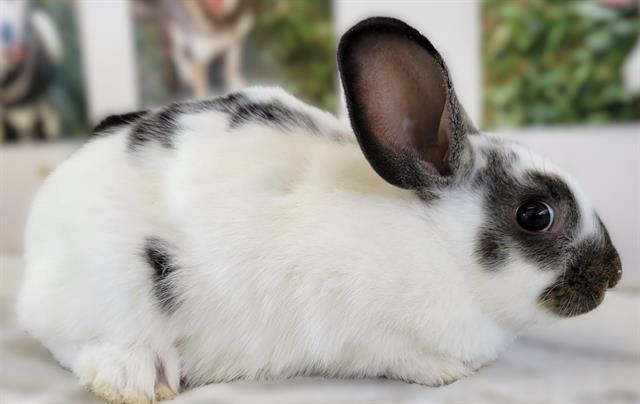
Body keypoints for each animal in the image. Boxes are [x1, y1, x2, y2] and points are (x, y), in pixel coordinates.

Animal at [17, 17, 622, 403]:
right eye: (536, 214)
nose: (614, 275)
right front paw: (447, 374)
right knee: (72, 343)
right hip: (112, 296)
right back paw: (136, 376)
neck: (435, 241)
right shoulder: (371, 335)